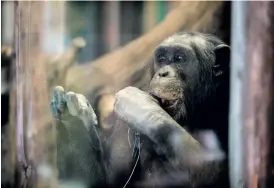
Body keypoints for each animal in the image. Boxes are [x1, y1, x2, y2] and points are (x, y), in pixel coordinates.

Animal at [50, 31, 229, 187]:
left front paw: (138, 104)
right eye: (162, 58)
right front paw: (72, 118)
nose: (163, 73)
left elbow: (212, 170)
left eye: (179, 58)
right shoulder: (123, 128)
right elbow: (105, 181)